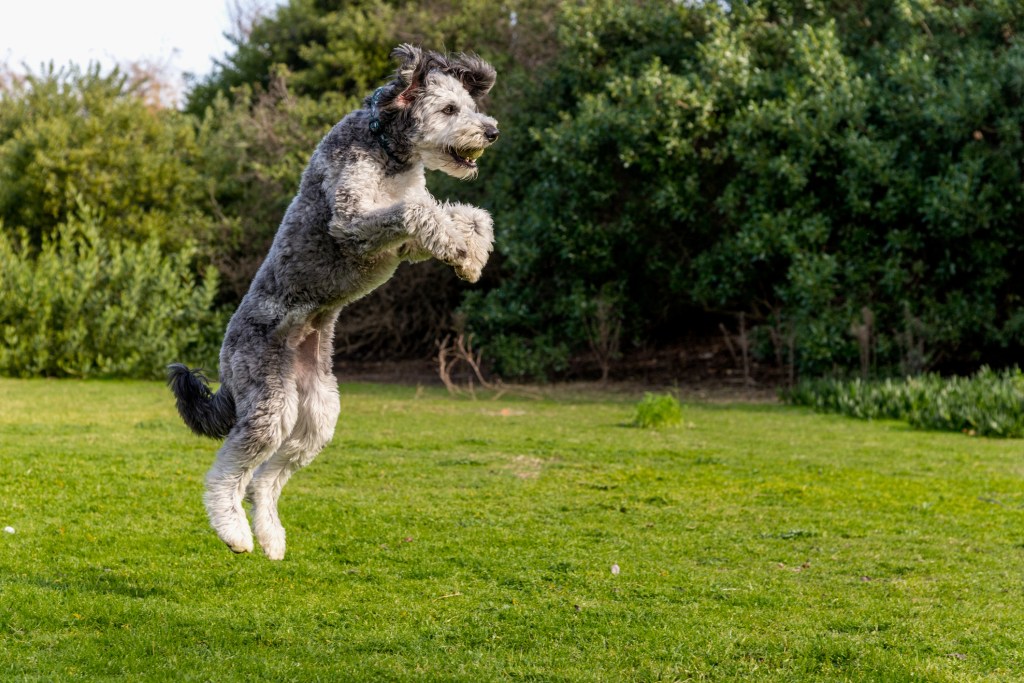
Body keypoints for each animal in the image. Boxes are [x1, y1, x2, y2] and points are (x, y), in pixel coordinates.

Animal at [167, 44, 499, 561]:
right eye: (449, 109)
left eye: (468, 104)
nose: (491, 130)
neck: (385, 148)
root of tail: (227, 353)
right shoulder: (351, 219)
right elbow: (418, 210)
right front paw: (459, 248)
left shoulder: (402, 243)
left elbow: (466, 213)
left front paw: (472, 253)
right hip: (269, 405)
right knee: (227, 476)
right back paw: (235, 533)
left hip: (317, 415)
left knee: (264, 482)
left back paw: (271, 537)